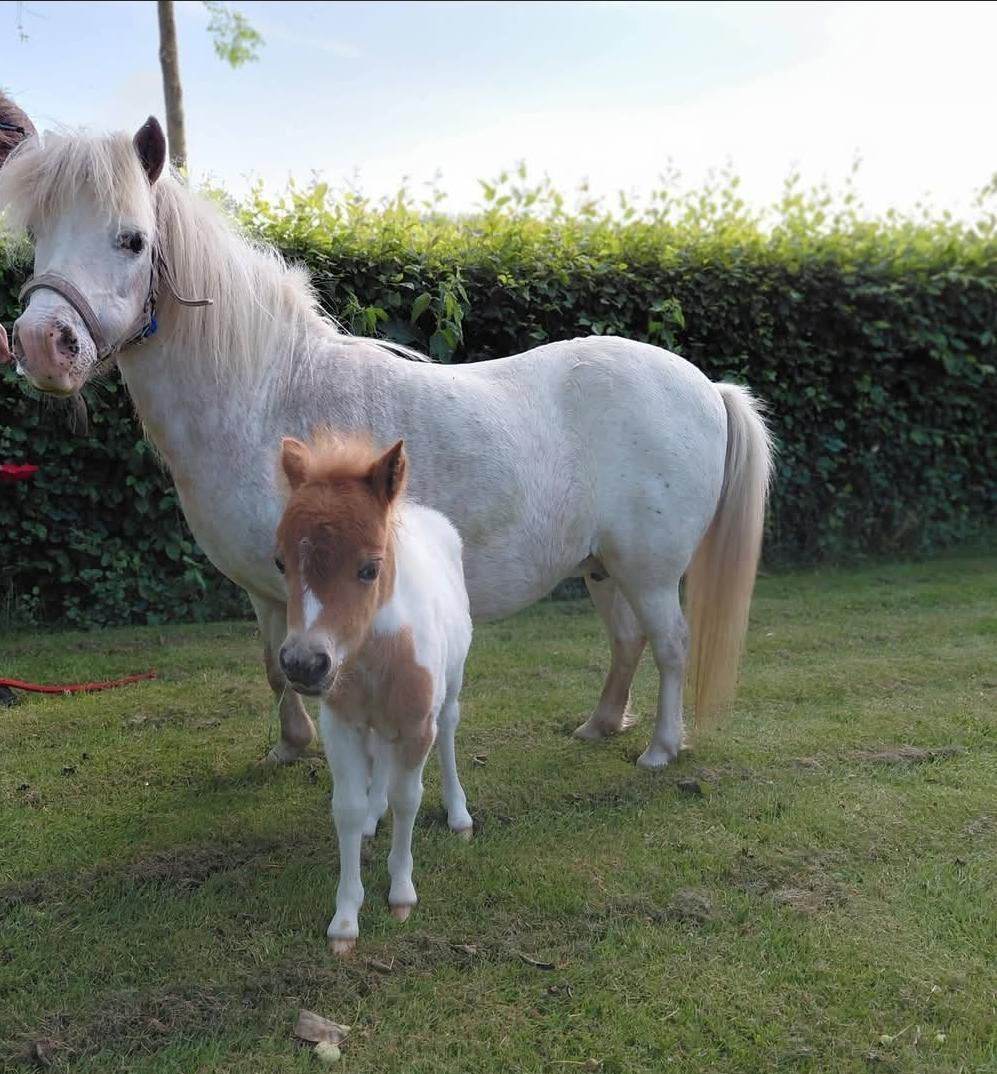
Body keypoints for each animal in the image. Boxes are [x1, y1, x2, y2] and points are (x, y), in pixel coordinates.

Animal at [0, 115, 774, 769]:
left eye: (131, 239)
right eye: (35, 233)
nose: (41, 345)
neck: (267, 396)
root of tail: (708, 388)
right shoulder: (266, 590)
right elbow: (274, 664)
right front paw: (290, 749)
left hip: (649, 569)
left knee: (670, 645)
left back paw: (660, 750)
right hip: (602, 566)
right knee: (628, 640)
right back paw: (600, 726)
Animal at [275, 431, 473, 952]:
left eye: (369, 568)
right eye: (280, 562)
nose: (303, 663)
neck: (372, 656)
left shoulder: (417, 725)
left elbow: (409, 799)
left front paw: (401, 893)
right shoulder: (340, 723)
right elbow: (345, 807)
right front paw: (345, 918)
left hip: (450, 689)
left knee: (449, 732)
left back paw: (459, 813)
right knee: (377, 759)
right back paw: (372, 817)